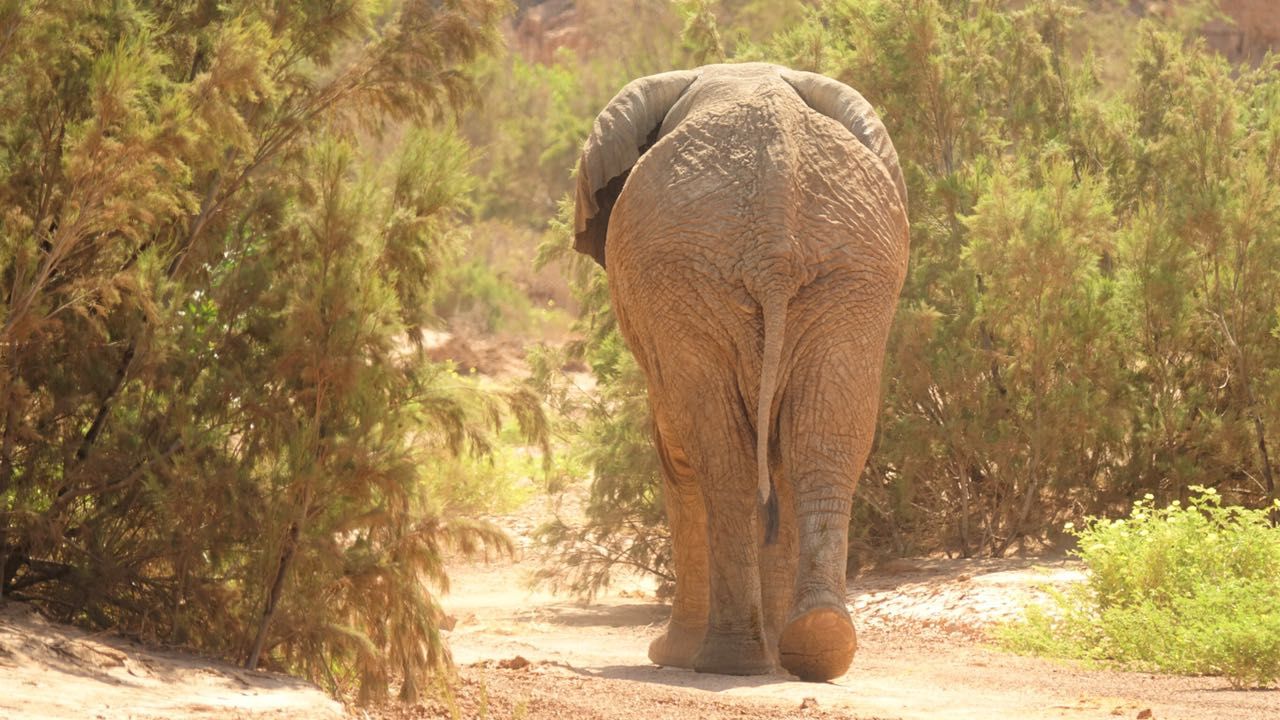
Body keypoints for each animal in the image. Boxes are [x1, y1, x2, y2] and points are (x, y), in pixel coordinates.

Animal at [571, 62, 909, 682]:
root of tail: (778, 199)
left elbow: (677, 451)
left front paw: (670, 655)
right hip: (847, 272)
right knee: (820, 437)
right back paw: (816, 645)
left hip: (693, 275)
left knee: (717, 455)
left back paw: (727, 662)